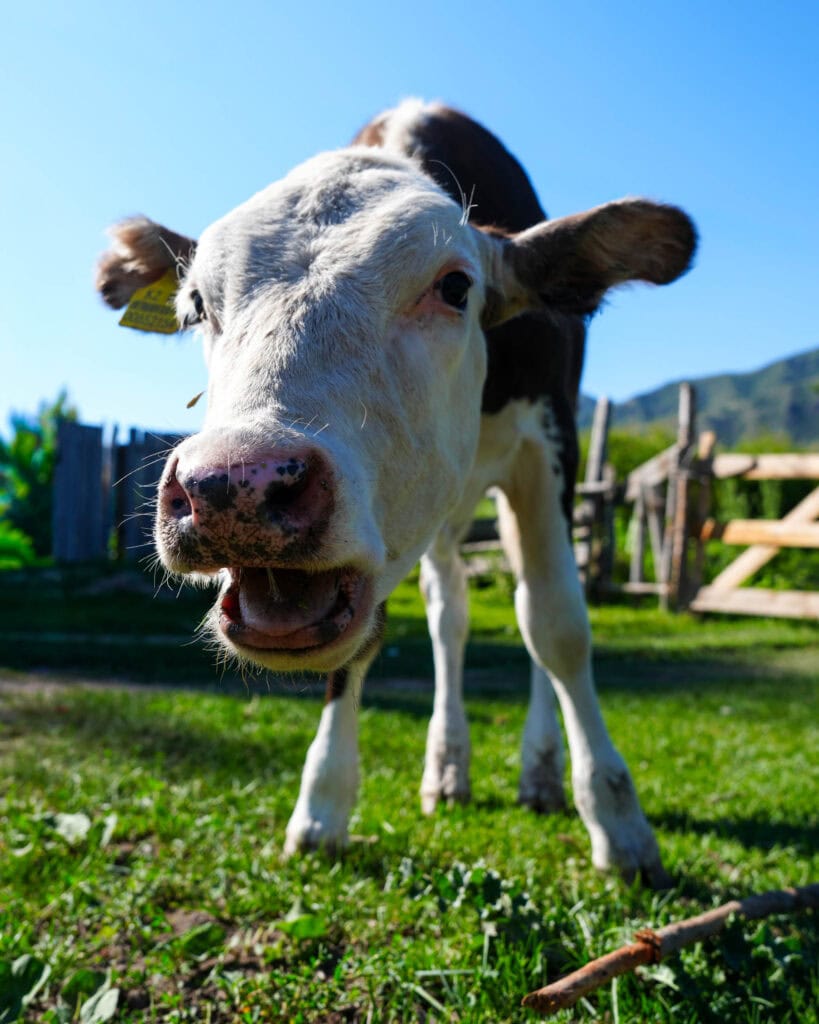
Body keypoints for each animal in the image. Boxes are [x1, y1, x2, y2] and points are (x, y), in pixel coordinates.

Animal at [96, 99, 696, 883]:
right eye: (196, 304)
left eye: (456, 287)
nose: (235, 485)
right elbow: (370, 640)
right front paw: (322, 803)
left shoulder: (549, 445)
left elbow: (558, 626)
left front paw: (619, 821)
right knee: (450, 613)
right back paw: (448, 766)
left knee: (531, 606)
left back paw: (539, 770)